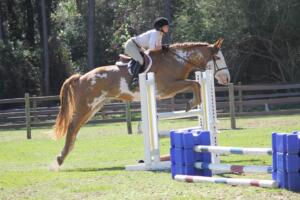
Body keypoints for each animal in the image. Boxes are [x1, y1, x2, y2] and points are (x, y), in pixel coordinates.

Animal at [50, 38, 231, 170]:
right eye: (218, 58)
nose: (226, 78)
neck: (177, 60)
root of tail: (81, 77)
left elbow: (196, 84)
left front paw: (193, 103)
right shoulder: (168, 88)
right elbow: (195, 84)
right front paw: (191, 103)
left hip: (94, 107)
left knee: (75, 128)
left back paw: (64, 155)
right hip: (86, 105)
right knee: (72, 127)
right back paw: (59, 159)